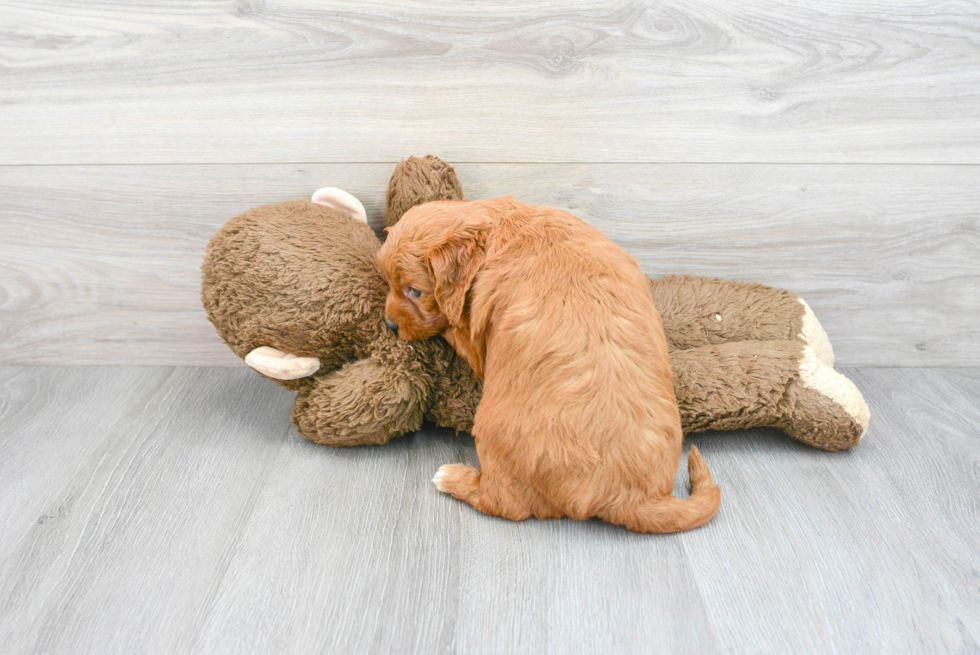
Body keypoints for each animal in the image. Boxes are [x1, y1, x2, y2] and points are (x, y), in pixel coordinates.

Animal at [376, 199, 720, 532]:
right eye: (387, 282)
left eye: (415, 291)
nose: (390, 324)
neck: (497, 228)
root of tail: (632, 498)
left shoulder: (474, 339)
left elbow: (453, 330)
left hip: (490, 428)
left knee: (503, 503)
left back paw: (451, 478)